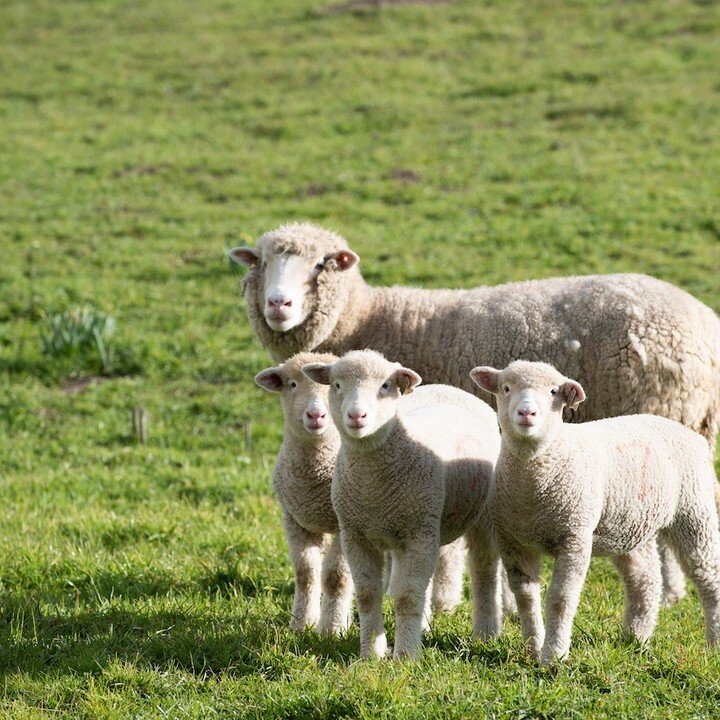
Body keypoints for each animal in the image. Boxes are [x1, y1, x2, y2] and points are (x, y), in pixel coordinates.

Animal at [302, 348, 500, 660]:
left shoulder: (417, 534)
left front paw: (405, 657)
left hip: (479, 516)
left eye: (385, 385)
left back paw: (485, 633)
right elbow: (369, 595)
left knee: (484, 570)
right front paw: (371, 654)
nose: (356, 415)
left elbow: (407, 597)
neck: (373, 486)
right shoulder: (356, 535)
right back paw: (425, 629)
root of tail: (448, 388)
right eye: (336, 385)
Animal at [470, 358, 720, 668]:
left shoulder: (574, 537)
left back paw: (713, 643)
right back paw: (636, 637)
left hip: (694, 513)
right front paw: (533, 649)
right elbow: (526, 598)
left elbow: (560, 599)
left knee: (709, 578)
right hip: (630, 525)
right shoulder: (514, 542)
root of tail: (689, 432)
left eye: (553, 391)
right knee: (645, 578)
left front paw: (554, 656)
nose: (526, 412)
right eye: (505, 388)